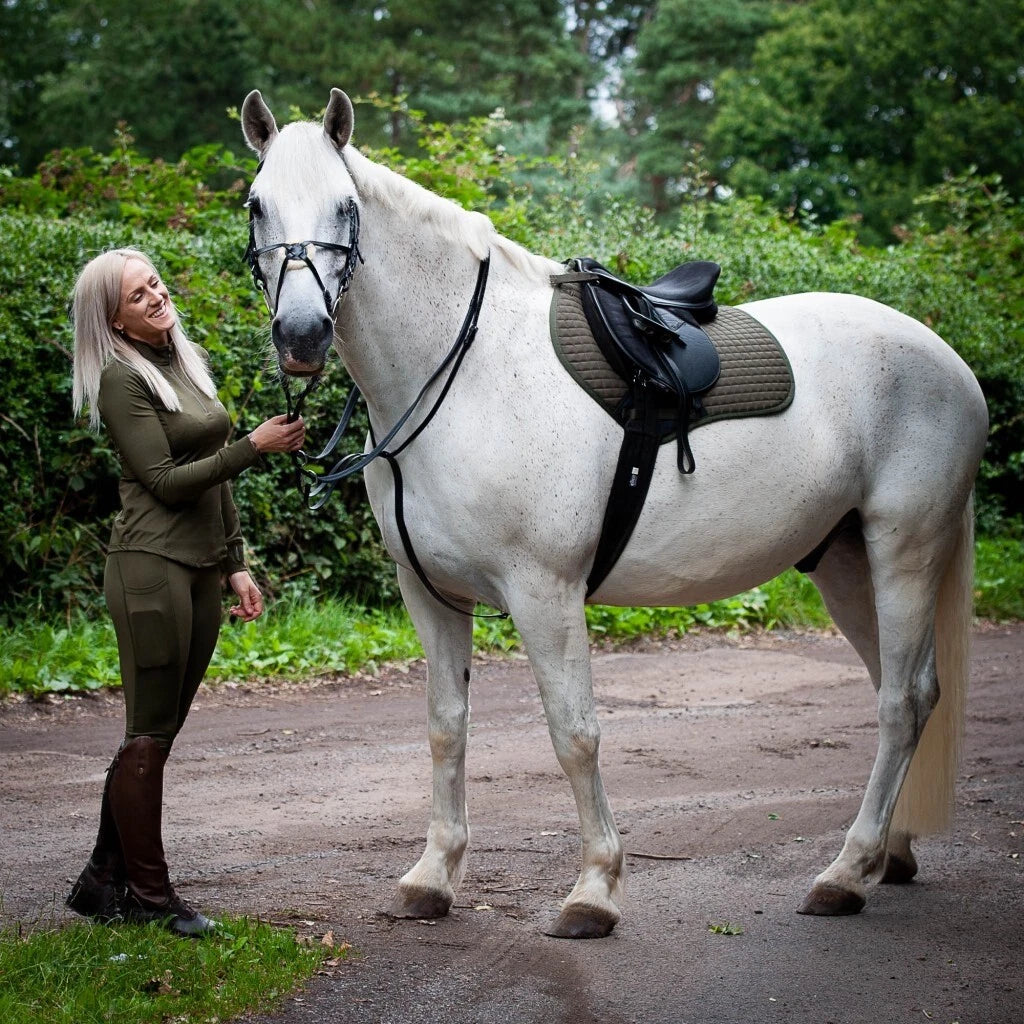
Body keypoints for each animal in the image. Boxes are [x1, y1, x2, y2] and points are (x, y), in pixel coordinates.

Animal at [240, 88, 989, 939]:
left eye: (345, 206)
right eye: (257, 205)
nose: (301, 335)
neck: (470, 371)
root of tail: (947, 358)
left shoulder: (545, 593)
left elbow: (575, 734)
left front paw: (594, 889)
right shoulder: (431, 596)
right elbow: (445, 728)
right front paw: (433, 876)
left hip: (905, 551)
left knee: (902, 702)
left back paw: (846, 872)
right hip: (844, 563)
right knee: (903, 690)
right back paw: (885, 856)